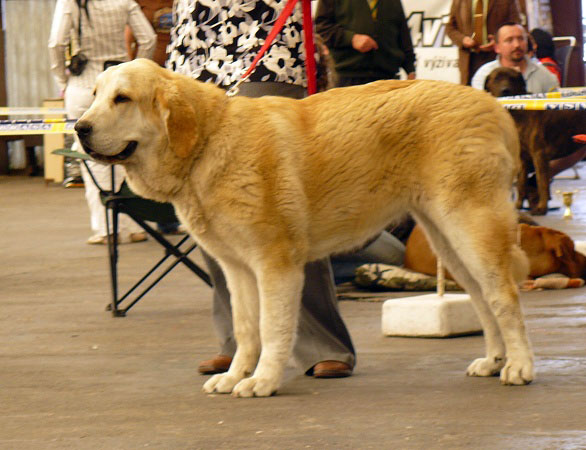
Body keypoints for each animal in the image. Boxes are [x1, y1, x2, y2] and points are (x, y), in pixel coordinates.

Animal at [75, 58, 532, 396]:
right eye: (95, 95)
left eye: (122, 99)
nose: (80, 128)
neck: (208, 142)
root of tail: (492, 105)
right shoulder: (237, 268)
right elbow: (245, 328)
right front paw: (234, 375)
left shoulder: (275, 265)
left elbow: (272, 328)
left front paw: (262, 381)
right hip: (447, 240)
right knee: (482, 298)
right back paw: (494, 360)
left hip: (472, 228)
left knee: (505, 296)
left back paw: (520, 366)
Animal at [482, 66, 580, 215]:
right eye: (497, 78)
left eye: (512, 78)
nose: (506, 90)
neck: (518, 111)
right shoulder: (522, 158)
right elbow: (521, 183)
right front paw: (518, 205)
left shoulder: (539, 154)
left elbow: (542, 182)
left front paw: (542, 207)